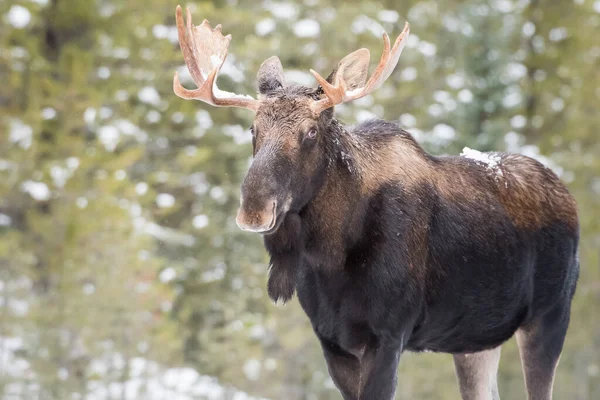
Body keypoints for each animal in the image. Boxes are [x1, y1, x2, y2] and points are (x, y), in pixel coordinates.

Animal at [171, 6, 580, 400]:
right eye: (253, 129)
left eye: (311, 132)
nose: (255, 208)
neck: (330, 255)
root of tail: (568, 197)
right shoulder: (332, 341)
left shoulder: (388, 335)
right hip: (475, 337)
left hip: (550, 316)